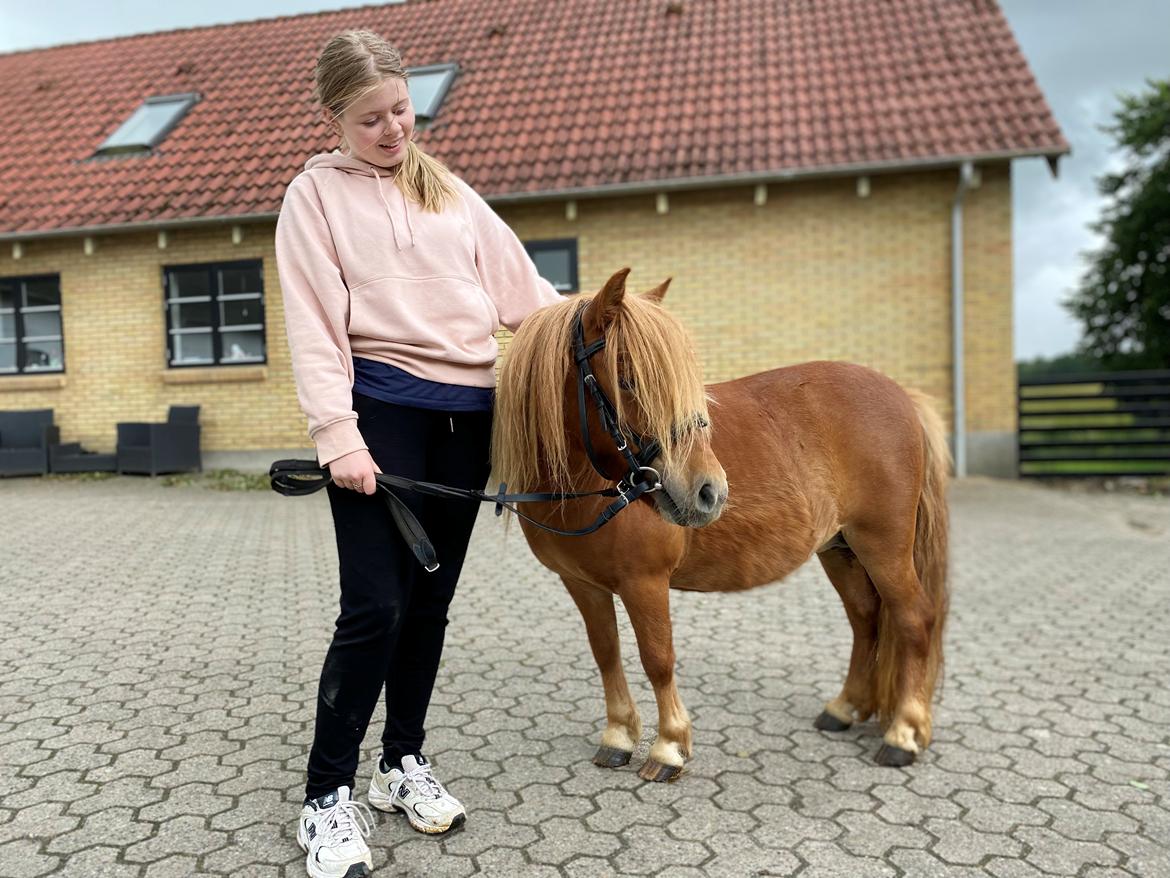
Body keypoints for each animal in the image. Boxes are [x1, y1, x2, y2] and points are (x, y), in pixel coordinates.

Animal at [493, 268, 950, 782]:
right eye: (627, 379)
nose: (709, 492)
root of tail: (903, 396)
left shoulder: (644, 583)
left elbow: (658, 659)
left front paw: (668, 747)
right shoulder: (582, 584)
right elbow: (606, 652)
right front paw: (618, 736)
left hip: (883, 545)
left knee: (914, 619)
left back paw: (904, 733)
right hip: (840, 549)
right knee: (865, 618)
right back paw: (845, 708)